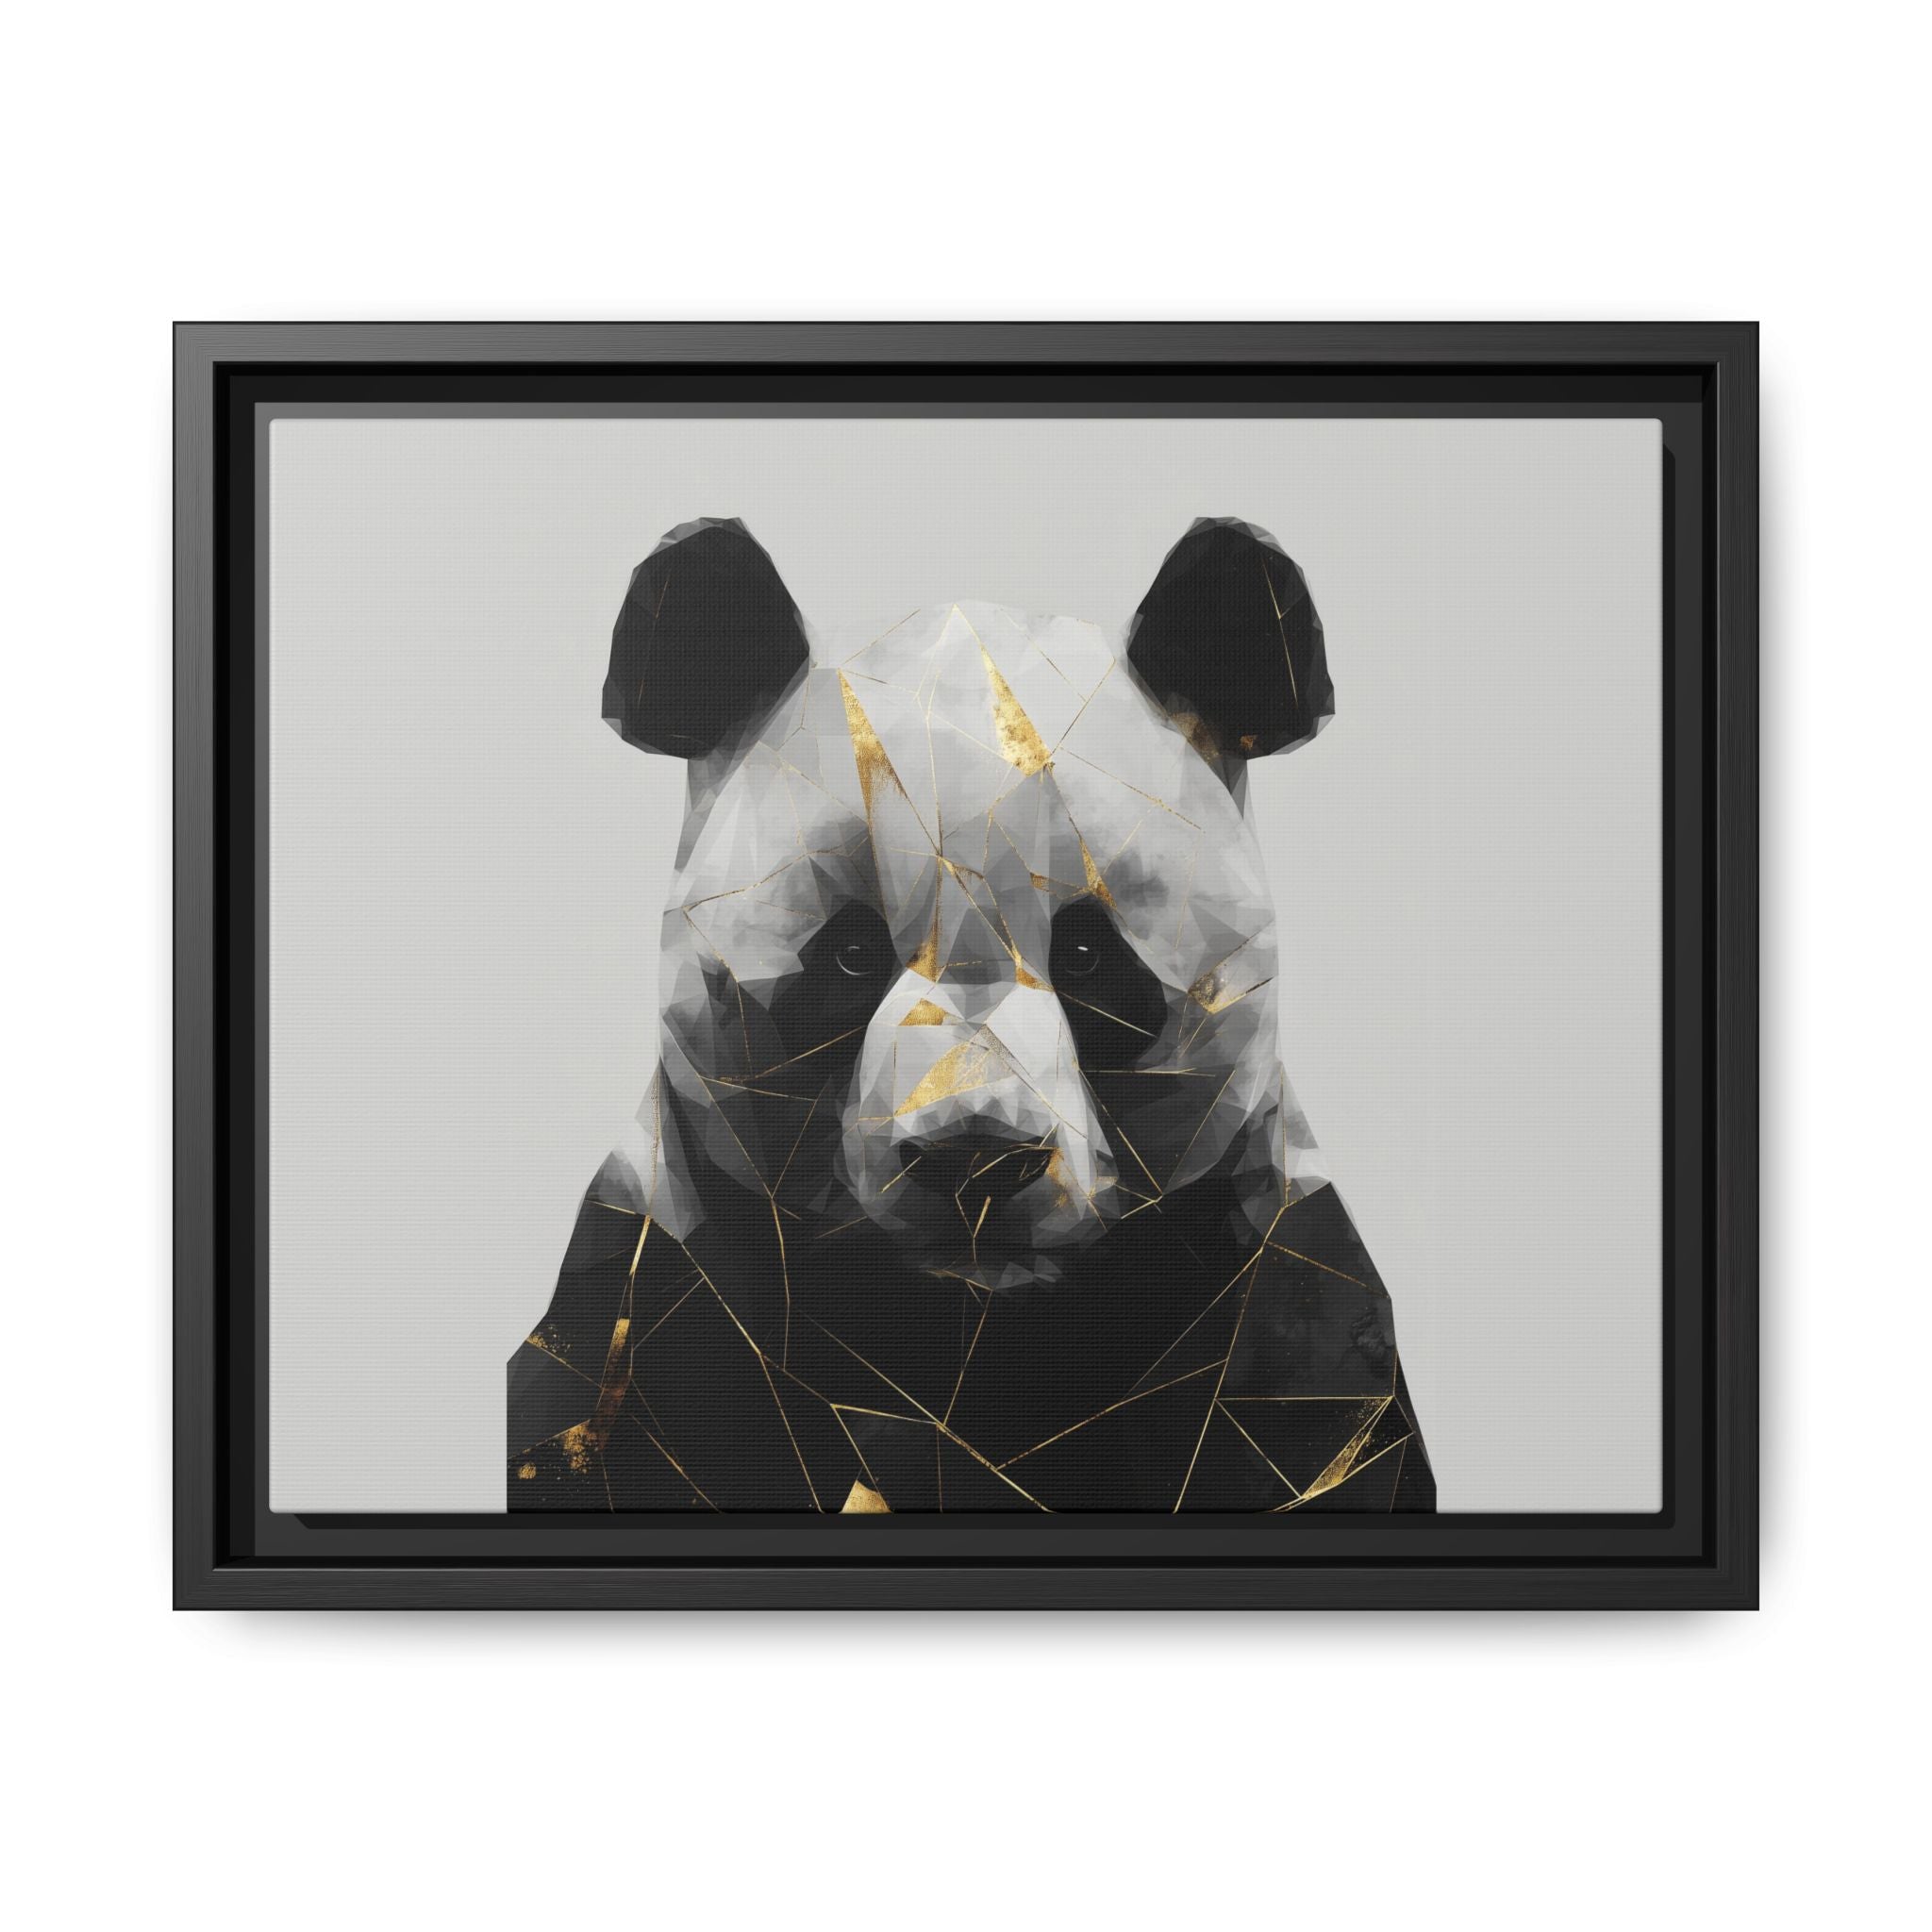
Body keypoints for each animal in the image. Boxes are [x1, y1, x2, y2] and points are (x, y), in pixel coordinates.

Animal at [508, 517, 1434, 1513]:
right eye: (851, 953)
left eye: (1087, 956)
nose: (976, 1158)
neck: (966, 1341)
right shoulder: (656, 1311)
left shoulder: (1279, 1318)